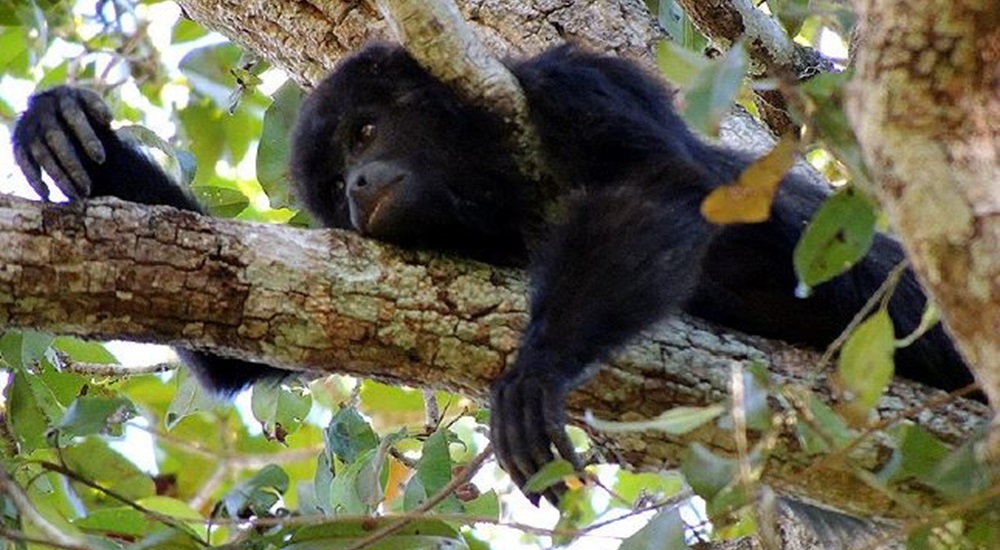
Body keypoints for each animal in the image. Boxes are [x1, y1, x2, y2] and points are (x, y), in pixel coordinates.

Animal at [11, 42, 972, 508]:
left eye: (365, 132)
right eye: (331, 182)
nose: (357, 187)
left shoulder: (571, 81)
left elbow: (656, 188)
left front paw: (536, 371)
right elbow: (230, 338)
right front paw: (61, 128)